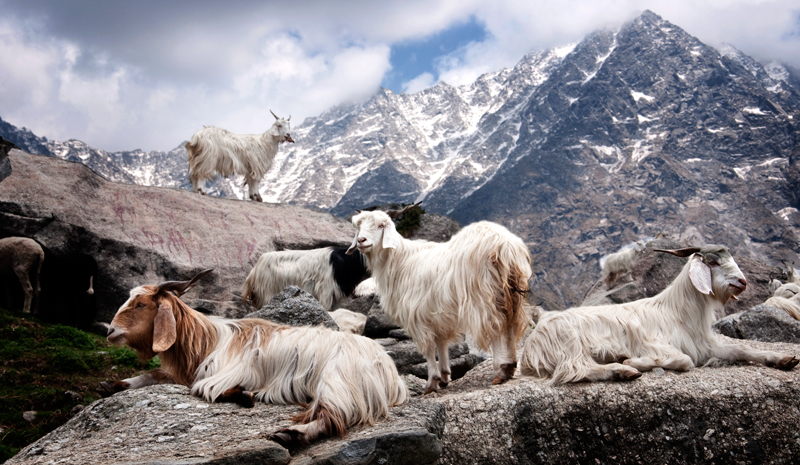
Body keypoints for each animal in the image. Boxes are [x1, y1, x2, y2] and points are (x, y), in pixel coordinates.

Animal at [101, 270, 406, 444]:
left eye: (141, 304)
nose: (111, 331)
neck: (207, 340)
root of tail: (388, 367)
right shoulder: (186, 372)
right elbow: (154, 375)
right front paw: (113, 385)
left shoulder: (221, 374)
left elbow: (204, 389)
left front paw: (244, 395)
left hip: (337, 382)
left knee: (334, 417)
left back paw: (292, 434)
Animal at [346, 203, 536, 392]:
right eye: (358, 227)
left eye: (381, 225)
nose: (361, 240)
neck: (399, 261)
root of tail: (504, 245)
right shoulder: (437, 315)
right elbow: (441, 343)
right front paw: (444, 376)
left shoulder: (416, 315)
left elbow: (429, 349)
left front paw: (431, 382)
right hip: (511, 293)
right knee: (511, 324)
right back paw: (510, 366)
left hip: (484, 295)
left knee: (496, 326)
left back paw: (500, 371)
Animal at [520, 245, 796, 382]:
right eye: (714, 262)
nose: (742, 282)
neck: (678, 311)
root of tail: (533, 344)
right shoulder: (655, 343)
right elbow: (684, 361)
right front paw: (633, 361)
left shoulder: (704, 344)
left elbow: (741, 349)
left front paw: (783, 359)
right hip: (570, 342)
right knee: (573, 370)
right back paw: (622, 370)